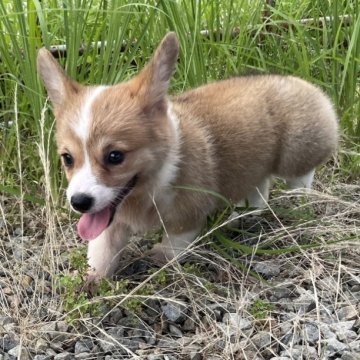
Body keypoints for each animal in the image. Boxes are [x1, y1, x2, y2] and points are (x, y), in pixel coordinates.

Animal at [38, 32, 338, 280]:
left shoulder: (187, 218)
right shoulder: (110, 222)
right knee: (259, 192)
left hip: (296, 156)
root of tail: (304, 83)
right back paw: (242, 216)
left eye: (115, 156)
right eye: (67, 158)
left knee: (299, 181)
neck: (151, 185)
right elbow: (100, 253)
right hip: (254, 167)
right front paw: (90, 281)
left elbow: (171, 247)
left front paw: (156, 259)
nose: (79, 202)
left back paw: (297, 205)